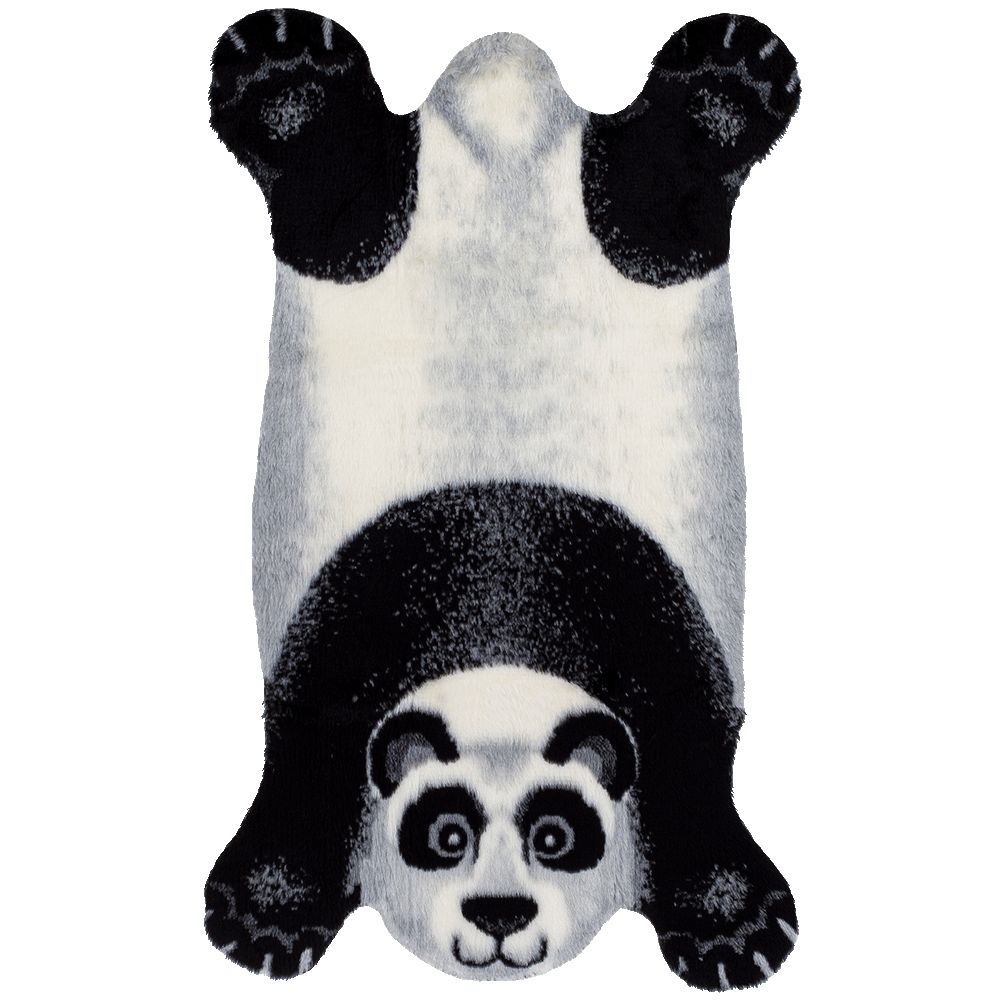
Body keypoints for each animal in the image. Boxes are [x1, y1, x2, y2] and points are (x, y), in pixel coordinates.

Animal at [204, 8, 801, 992]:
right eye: (444, 833)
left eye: (556, 835)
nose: (498, 917)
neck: (500, 651)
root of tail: (502, 85)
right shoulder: (342, 644)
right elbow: (306, 749)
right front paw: (269, 913)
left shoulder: (661, 642)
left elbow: (691, 755)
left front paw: (730, 925)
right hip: (375, 220)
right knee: (338, 181)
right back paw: (286, 67)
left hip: (628, 225)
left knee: (661, 180)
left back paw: (730, 70)